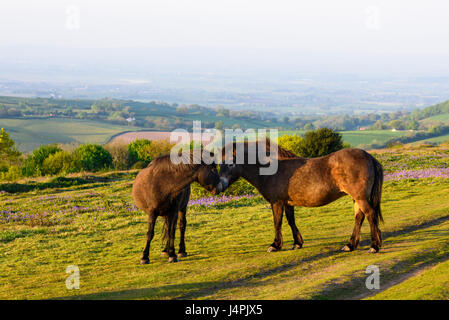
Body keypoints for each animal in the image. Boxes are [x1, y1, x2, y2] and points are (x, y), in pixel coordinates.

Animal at [219, 140, 384, 252]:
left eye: (230, 163)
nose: (219, 185)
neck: (272, 170)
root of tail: (369, 156)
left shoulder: (277, 202)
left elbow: (277, 222)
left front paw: (275, 245)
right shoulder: (287, 203)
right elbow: (290, 221)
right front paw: (297, 243)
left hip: (360, 198)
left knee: (370, 214)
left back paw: (374, 246)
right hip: (357, 198)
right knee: (359, 217)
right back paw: (350, 245)